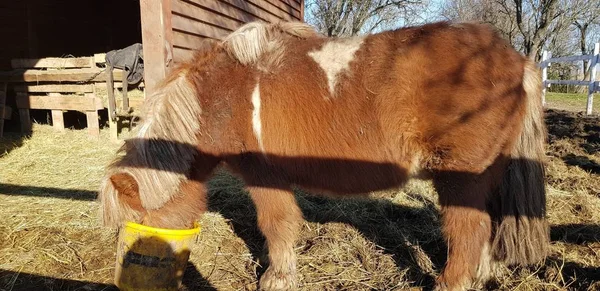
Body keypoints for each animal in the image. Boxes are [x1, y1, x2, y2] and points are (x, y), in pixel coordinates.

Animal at [98, 21, 548, 291]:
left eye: (140, 221)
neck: (224, 94)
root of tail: (516, 59)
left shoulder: (262, 174)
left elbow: (275, 224)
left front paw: (277, 278)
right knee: (486, 229)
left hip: (461, 177)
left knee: (468, 232)